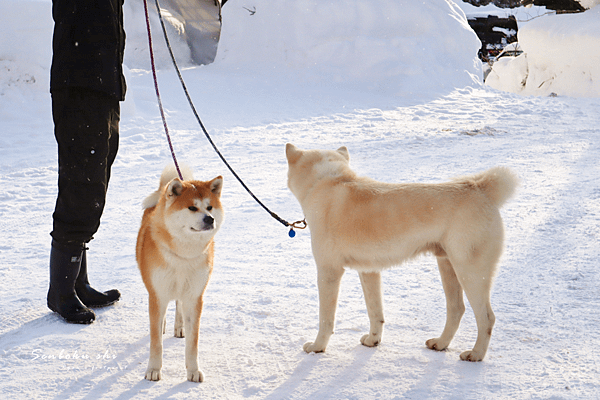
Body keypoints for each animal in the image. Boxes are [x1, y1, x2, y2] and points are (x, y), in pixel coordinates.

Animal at [137, 166, 224, 382]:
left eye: (210, 207)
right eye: (192, 208)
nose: (209, 219)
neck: (184, 254)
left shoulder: (194, 296)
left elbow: (193, 342)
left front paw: (193, 371)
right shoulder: (157, 293)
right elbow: (156, 341)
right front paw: (153, 369)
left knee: (178, 305)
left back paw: (179, 326)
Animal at [284, 144, 516, 362]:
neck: (328, 182)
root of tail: (480, 188)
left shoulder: (328, 272)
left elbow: (326, 319)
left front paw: (317, 347)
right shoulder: (368, 271)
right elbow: (375, 312)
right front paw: (373, 341)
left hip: (470, 272)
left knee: (486, 317)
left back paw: (475, 354)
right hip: (448, 266)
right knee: (457, 309)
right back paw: (440, 343)